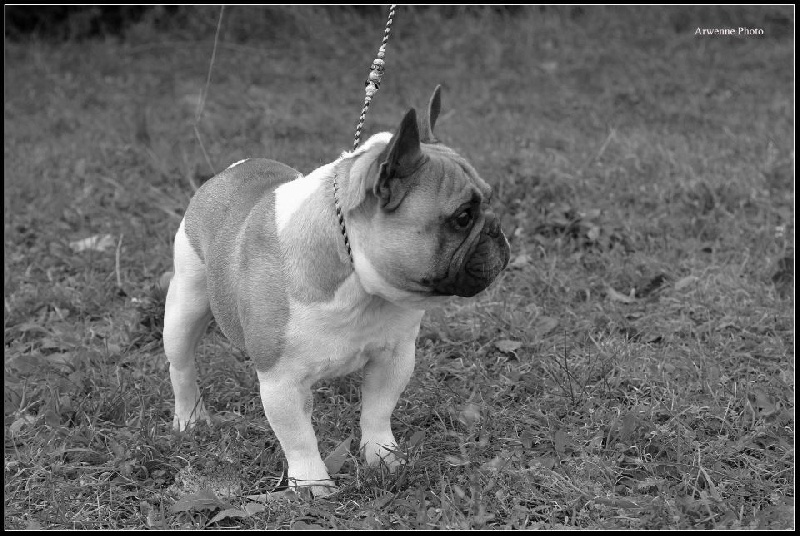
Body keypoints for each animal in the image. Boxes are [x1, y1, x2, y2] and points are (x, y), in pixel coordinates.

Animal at [163, 86, 510, 497]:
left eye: (489, 200)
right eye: (463, 217)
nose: (497, 229)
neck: (360, 287)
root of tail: (231, 170)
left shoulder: (394, 356)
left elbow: (378, 412)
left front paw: (383, 457)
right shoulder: (281, 381)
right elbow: (299, 439)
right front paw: (314, 485)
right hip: (185, 305)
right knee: (182, 367)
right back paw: (190, 419)